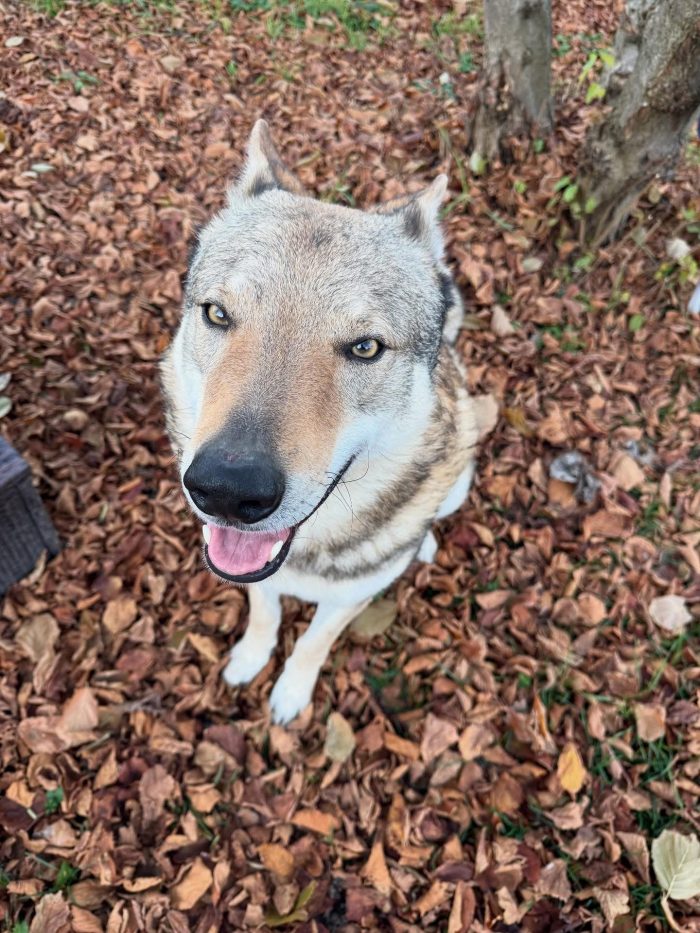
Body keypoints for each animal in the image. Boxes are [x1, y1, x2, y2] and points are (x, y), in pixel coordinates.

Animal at [161, 120, 496, 724]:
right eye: (218, 314)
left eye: (365, 347)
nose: (226, 489)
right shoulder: (253, 573)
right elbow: (264, 613)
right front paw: (251, 659)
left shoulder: (346, 601)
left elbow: (314, 643)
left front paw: (291, 694)